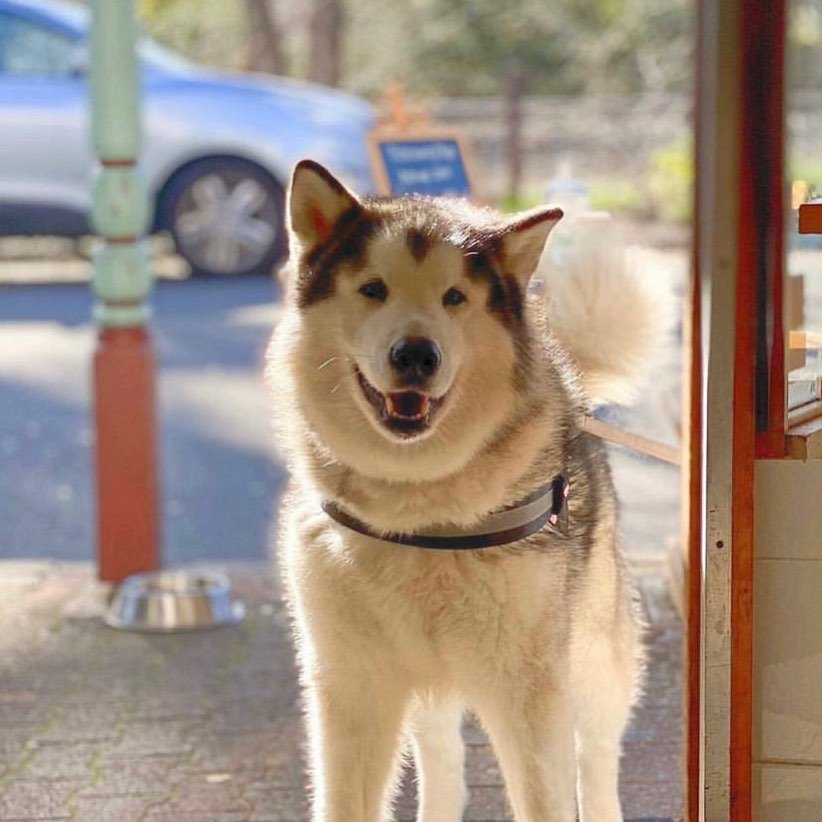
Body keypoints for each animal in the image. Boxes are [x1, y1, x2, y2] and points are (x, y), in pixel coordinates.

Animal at [268, 161, 668, 822]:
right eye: (373, 288)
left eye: (454, 297)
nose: (415, 355)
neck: (418, 513)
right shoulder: (353, 688)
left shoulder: (529, 694)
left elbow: (548, 796)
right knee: (443, 759)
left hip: (594, 662)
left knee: (598, 756)